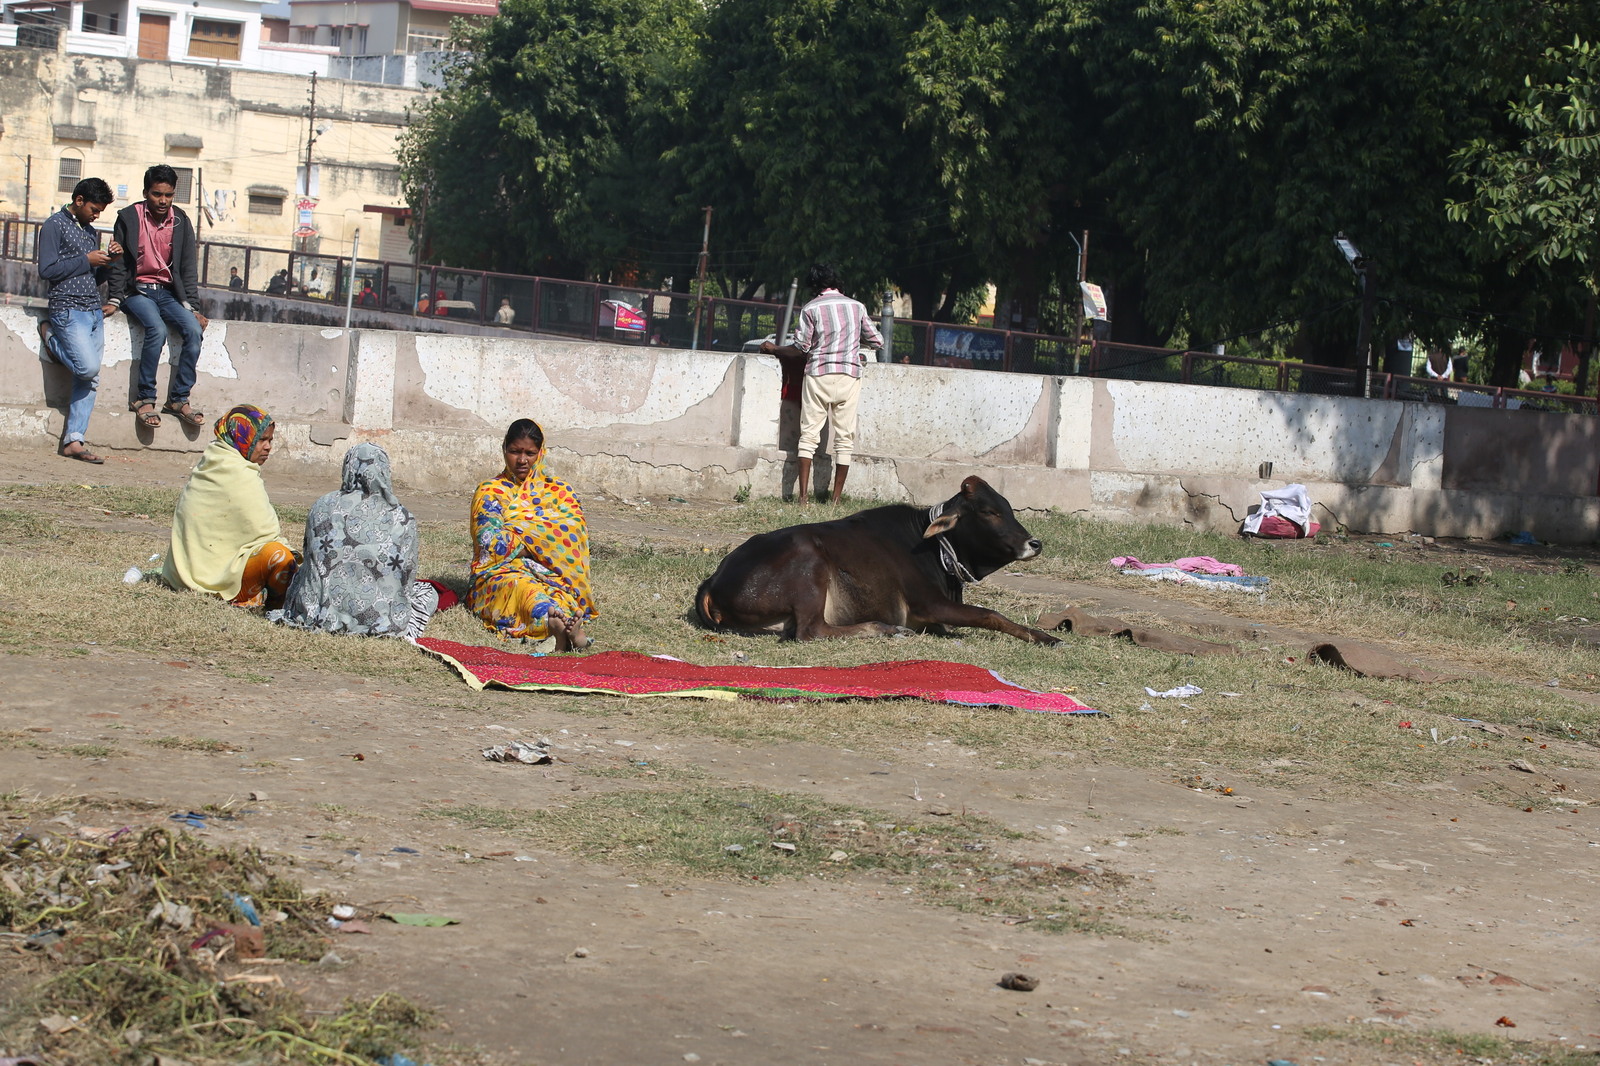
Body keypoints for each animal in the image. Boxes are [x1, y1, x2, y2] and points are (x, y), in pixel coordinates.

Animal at [691, 476, 1056, 643]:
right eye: (989, 511)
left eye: (1007, 507)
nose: (1034, 543)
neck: (934, 549)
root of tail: (713, 580)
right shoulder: (929, 604)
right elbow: (989, 614)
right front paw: (1044, 637)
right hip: (810, 569)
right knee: (811, 631)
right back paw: (885, 628)